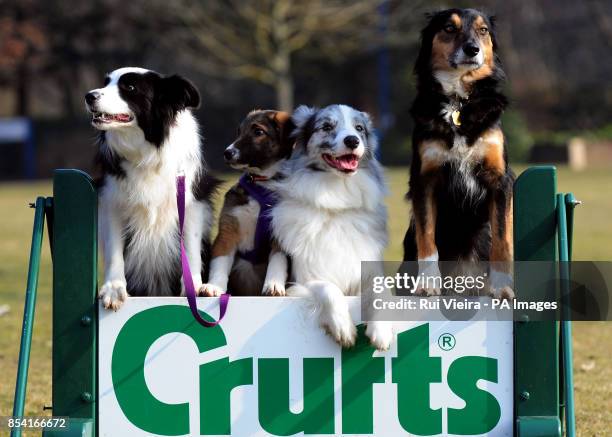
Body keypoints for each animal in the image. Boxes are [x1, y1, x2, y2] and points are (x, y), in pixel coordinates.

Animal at [85, 66, 219, 308]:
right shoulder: (112, 200)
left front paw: (193, 287)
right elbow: (114, 250)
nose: (89, 96)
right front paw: (113, 288)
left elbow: (191, 246)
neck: (147, 150)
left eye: (130, 87)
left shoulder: (192, 200)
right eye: (106, 82)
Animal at [200, 109, 296, 296]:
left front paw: (274, 285)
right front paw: (214, 286)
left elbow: (277, 262)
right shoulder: (227, 233)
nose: (227, 152)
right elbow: (220, 263)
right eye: (239, 132)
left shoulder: (280, 237)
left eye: (258, 132)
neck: (262, 185)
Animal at [272, 104, 392, 350]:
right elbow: (328, 288)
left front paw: (381, 330)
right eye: (326, 126)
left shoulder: (368, 271)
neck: (336, 201)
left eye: (359, 128)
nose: (352, 140)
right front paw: (342, 327)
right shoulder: (300, 281)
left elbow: (380, 291)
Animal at [404, 8, 512, 298]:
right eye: (449, 29)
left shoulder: (499, 180)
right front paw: (428, 283)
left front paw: (502, 287)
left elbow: (501, 239)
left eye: (483, 30)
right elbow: (427, 237)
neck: (458, 102)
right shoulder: (424, 179)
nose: (472, 49)